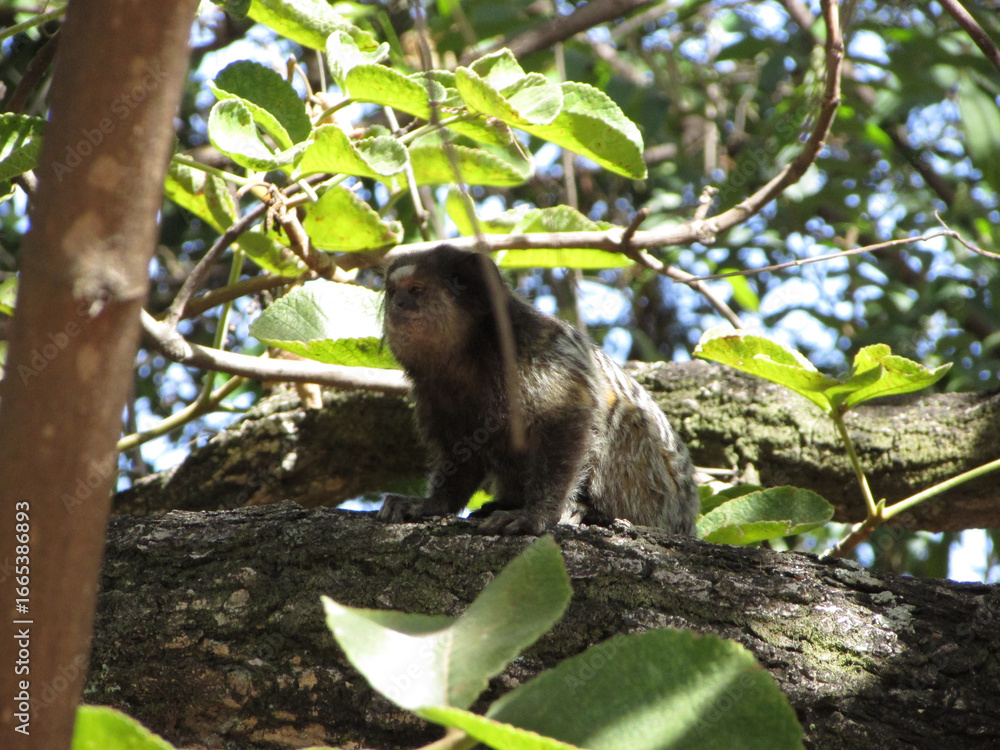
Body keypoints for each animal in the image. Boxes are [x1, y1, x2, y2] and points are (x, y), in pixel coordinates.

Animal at [376, 245, 699, 536]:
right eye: (393, 291)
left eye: (416, 290)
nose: (399, 304)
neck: (470, 354)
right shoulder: (433, 391)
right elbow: (462, 449)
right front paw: (434, 503)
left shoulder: (537, 353)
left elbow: (570, 422)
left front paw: (538, 515)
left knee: (627, 417)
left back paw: (591, 511)